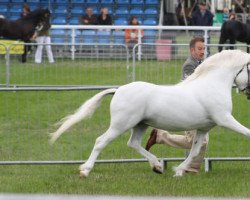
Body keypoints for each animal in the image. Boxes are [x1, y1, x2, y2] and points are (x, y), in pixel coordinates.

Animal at [49, 49, 250, 177]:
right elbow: (247, 133)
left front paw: (178, 171)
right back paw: (85, 170)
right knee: (101, 141)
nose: (249, 93)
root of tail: (118, 90)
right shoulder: (225, 119)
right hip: (121, 124)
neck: (211, 84)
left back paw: (157, 166)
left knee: (133, 143)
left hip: (140, 125)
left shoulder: (203, 129)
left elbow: (194, 151)